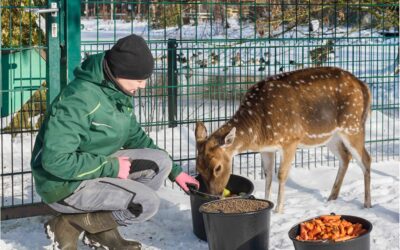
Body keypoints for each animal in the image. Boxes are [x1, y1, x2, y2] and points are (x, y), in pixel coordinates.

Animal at [194, 66, 372, 213]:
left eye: (218, 167)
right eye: (198, 168)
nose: (213, 196)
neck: (259, 128)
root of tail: (364, 86)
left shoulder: (290, 139)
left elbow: (281, 174)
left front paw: (278, 209)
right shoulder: (266, 149)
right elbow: (268, 174)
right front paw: (266, 202)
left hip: (353, 125)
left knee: (366, 159)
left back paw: (367, 204)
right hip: (332, 136)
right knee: (345, 157)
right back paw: (332, 197)